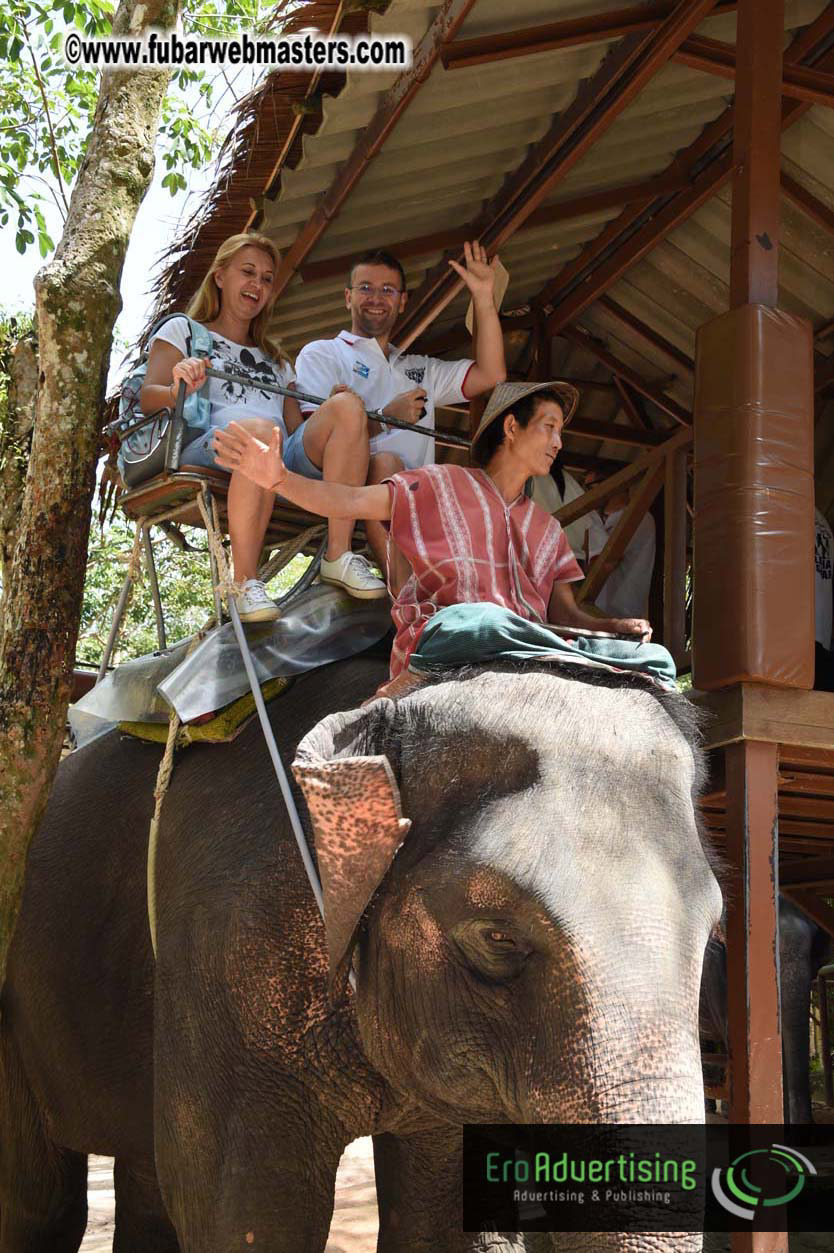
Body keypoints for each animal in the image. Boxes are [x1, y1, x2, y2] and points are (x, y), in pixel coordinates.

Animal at [0, 650, 722, 1252]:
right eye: (497, 938)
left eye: (713, 933)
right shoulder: (227, 953)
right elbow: (246, 1211)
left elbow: (440, 1218)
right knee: (42, 1205)